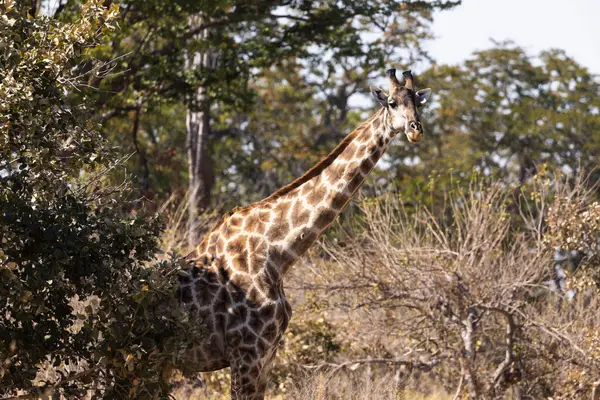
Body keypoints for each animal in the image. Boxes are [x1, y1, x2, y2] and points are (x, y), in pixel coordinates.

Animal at [176, 67, 434, 398]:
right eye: (391, 102)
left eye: (418, 102)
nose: (416, 130)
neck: (276, 254)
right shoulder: (245, 354)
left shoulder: (267, 355)